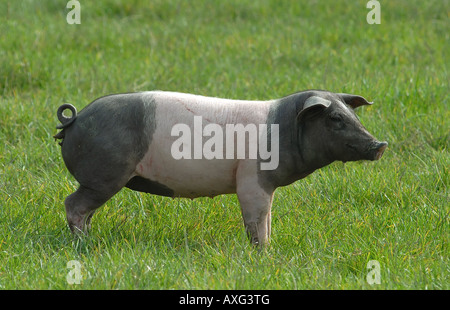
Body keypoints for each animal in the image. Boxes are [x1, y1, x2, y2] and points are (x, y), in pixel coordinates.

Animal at [55, 89, 386, 245]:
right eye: (335, 119)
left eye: (355, 117)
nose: (380, 144)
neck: (284, 130)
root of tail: (73, 120)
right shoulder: (251, 181)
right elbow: (256, 222)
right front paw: (263, 254)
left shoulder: (266, 186)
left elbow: (267, 220)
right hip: (104, 176)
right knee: (73, 204)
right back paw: (85, 244)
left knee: (85, 210)